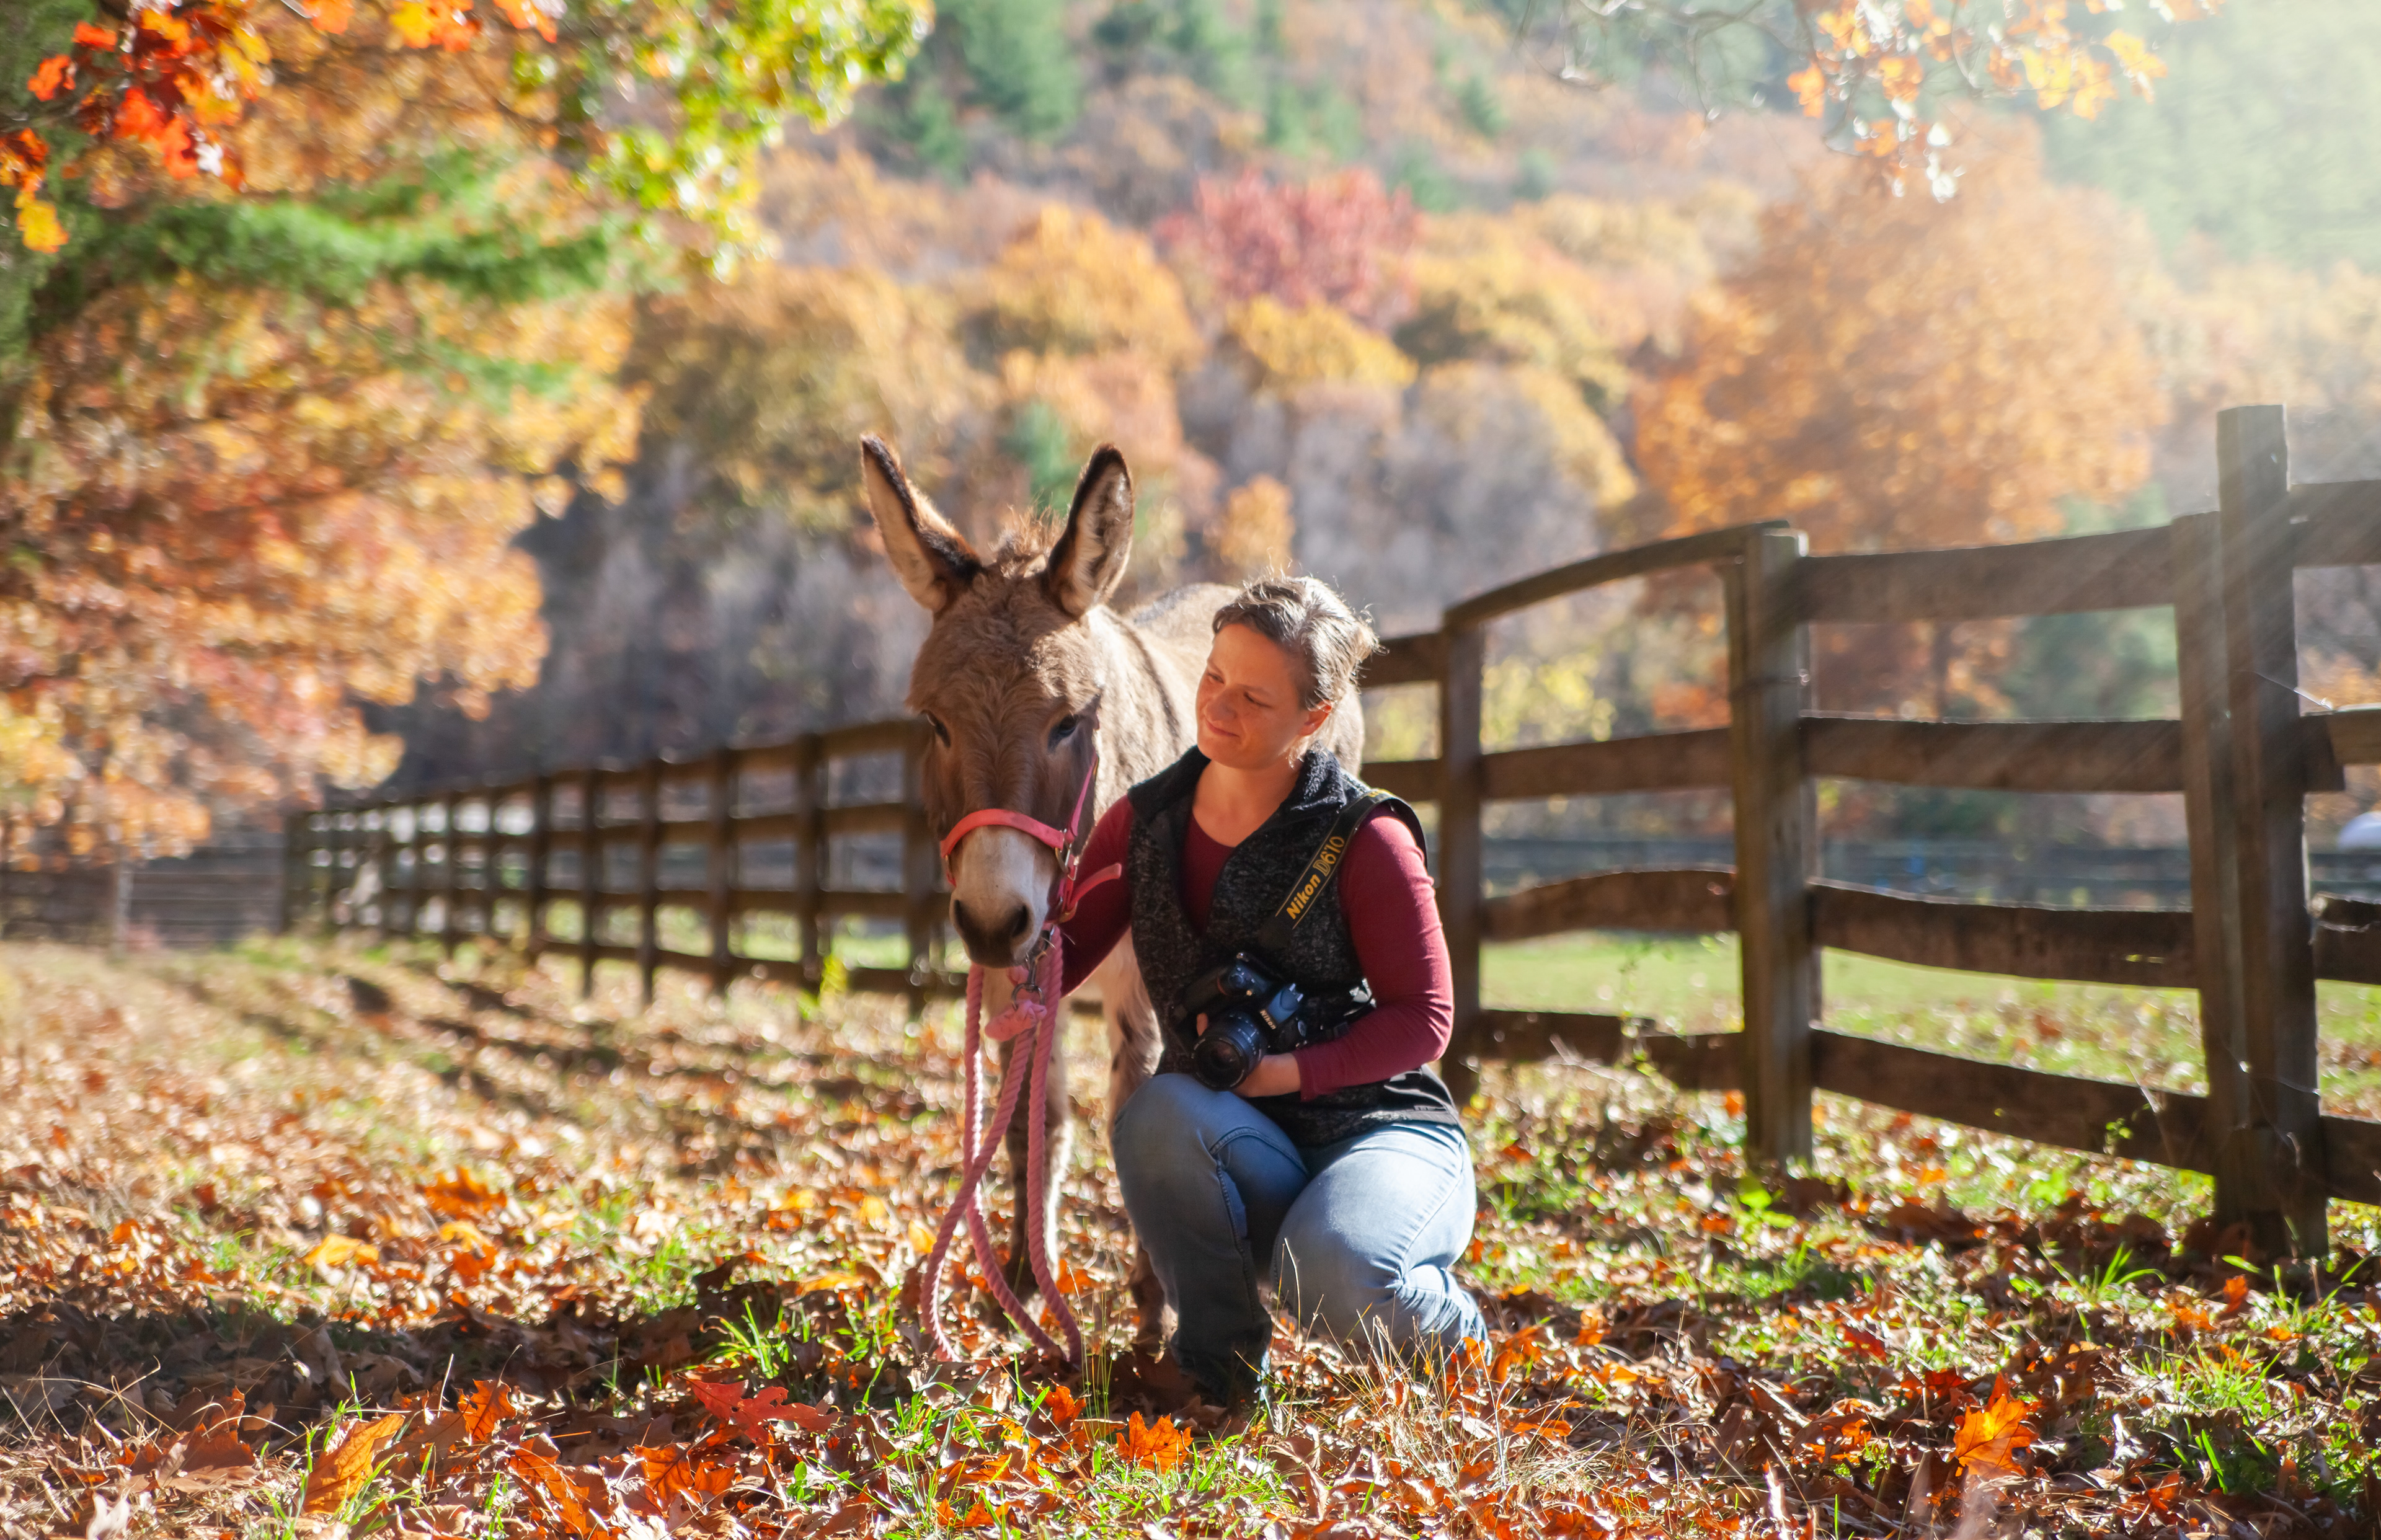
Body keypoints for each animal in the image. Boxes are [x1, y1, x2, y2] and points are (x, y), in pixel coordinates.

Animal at [859, 436, 1363, 1354]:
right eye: (936, 725)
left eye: (1067, 723)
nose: (994, 920)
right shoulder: (1020, 974)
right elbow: (1037, 1120)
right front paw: (1022, 1283)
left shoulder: (1145, 986)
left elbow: (1128, 1112)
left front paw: (1153, 1309)